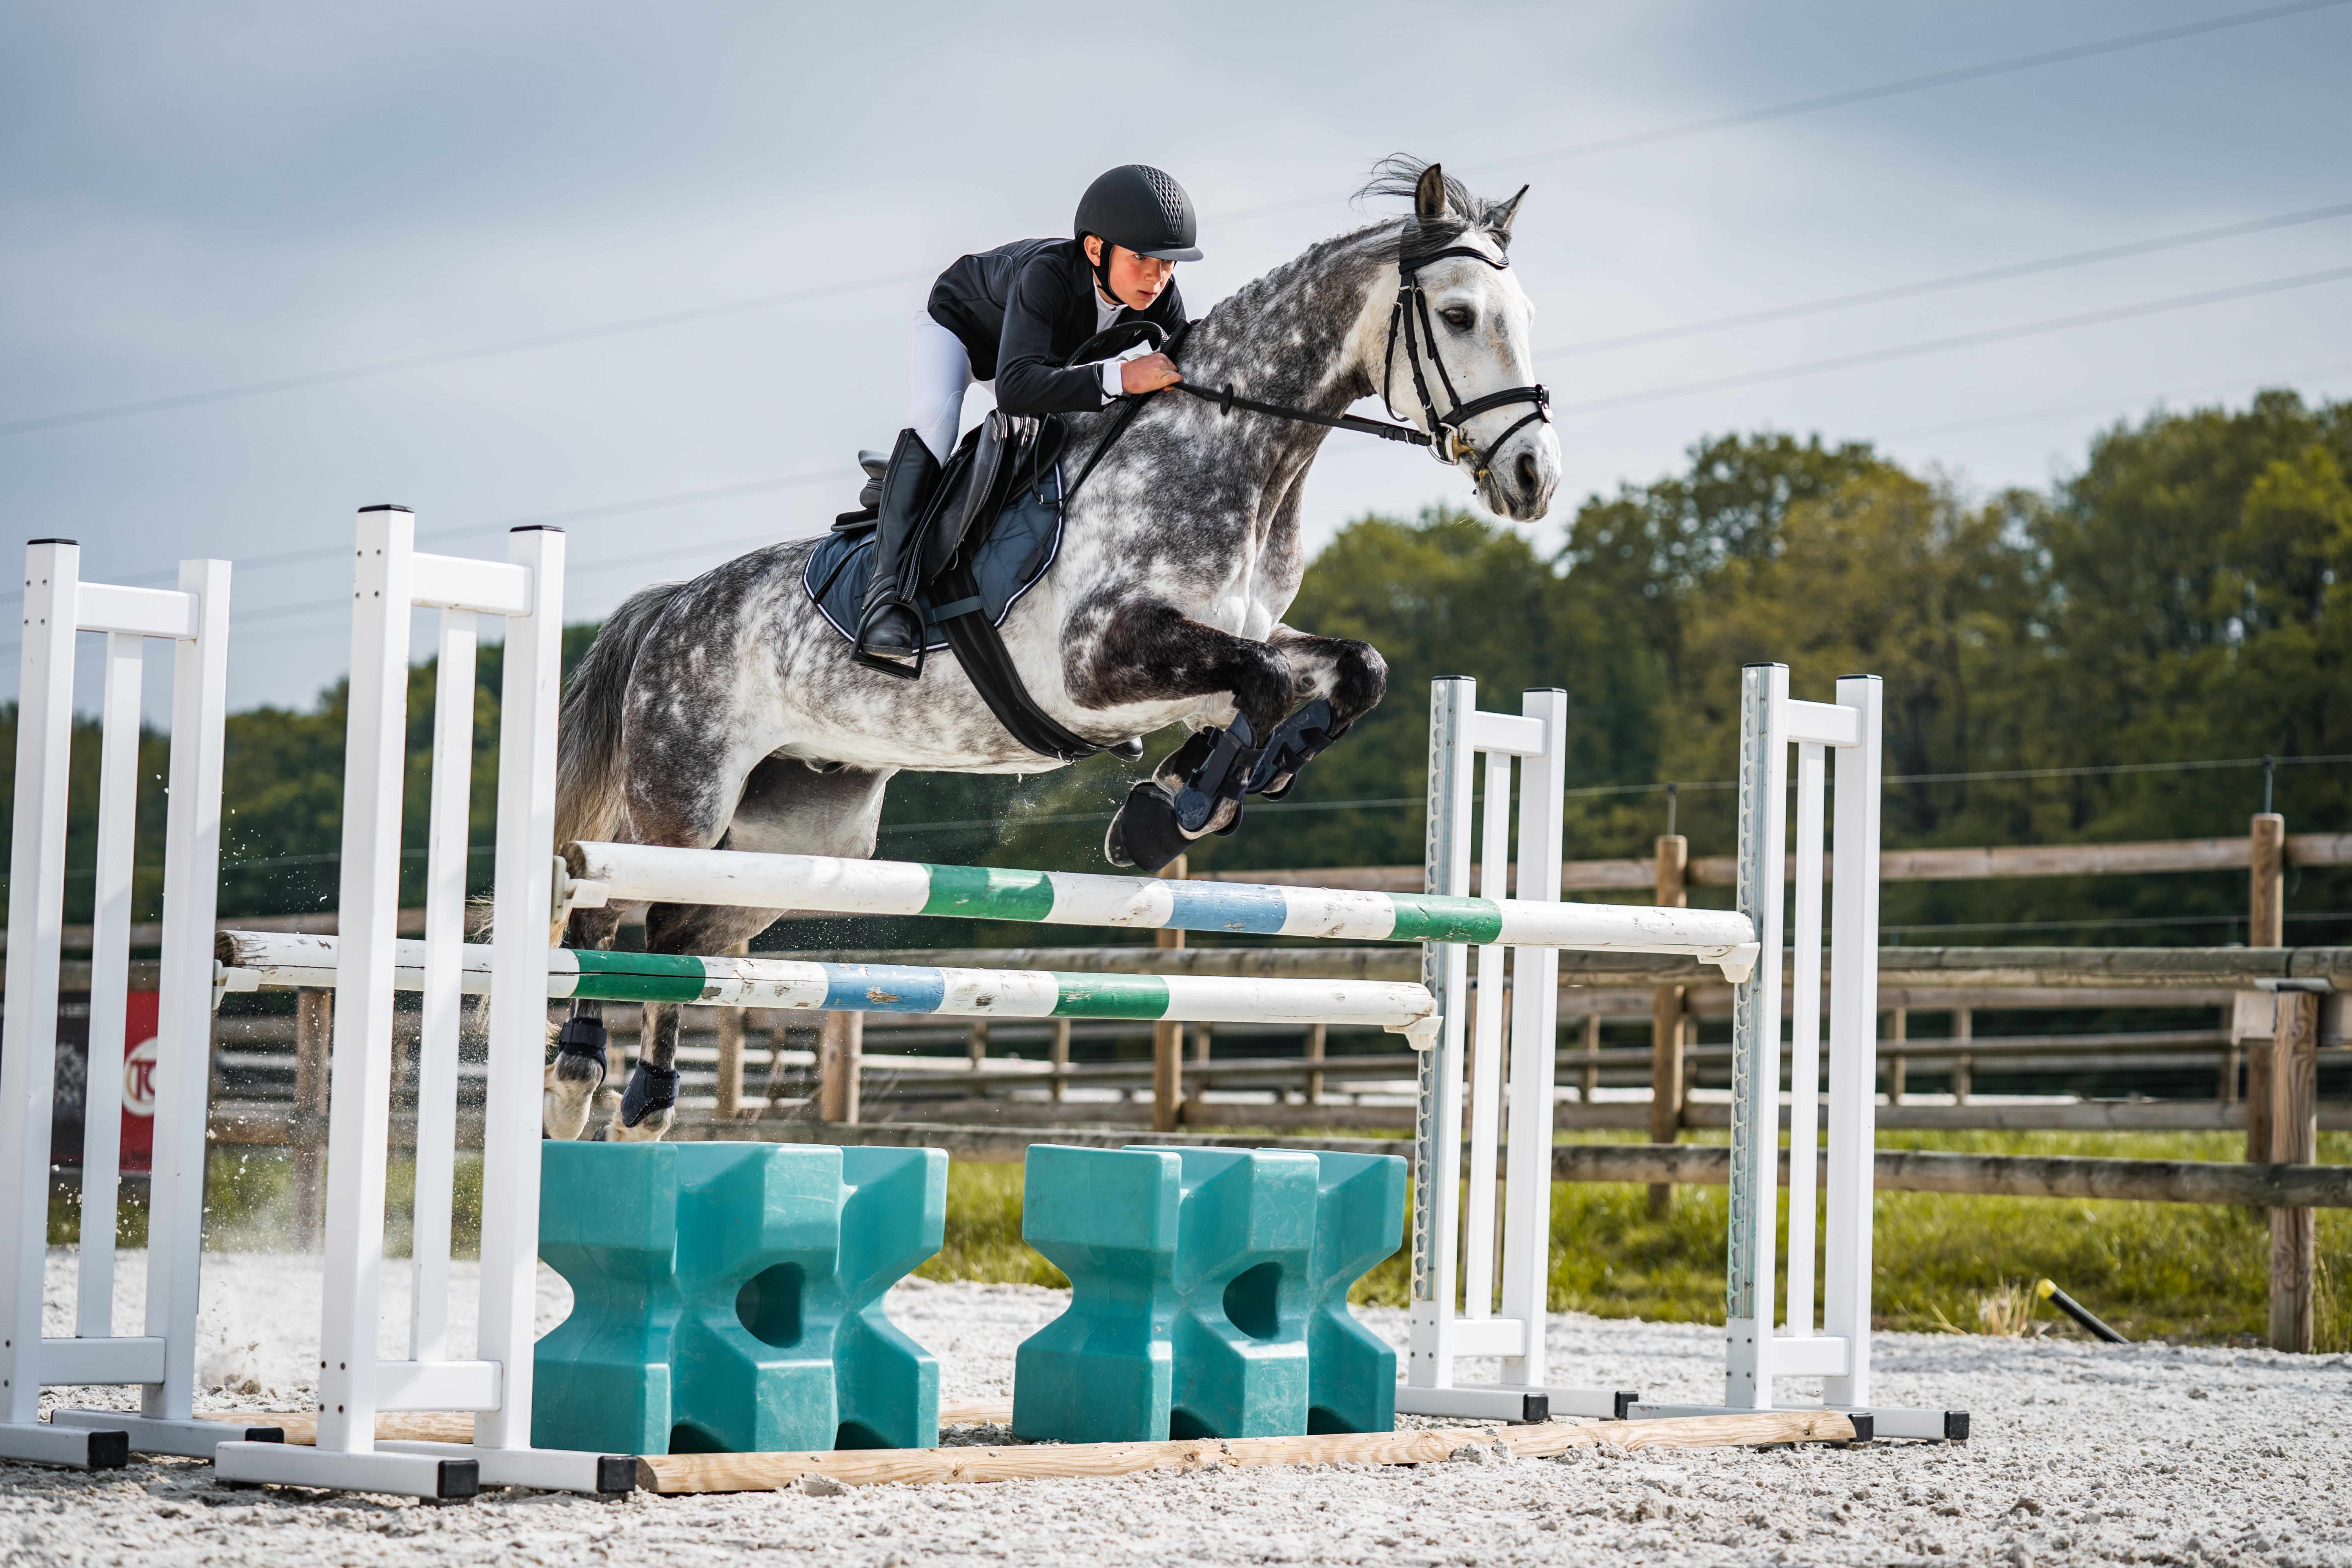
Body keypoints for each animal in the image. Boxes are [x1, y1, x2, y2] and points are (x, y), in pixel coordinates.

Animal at [550, 160, 1562, 1142]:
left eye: (1525, 316)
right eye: (1460, 315)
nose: (1533, 479)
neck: (1234, 456)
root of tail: (672, 605)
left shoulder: (1225, 643)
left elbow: (1345, 671)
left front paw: (1192, 794)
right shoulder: (1096, 661)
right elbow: (1266, 681)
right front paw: (1178, 807)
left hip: (797, 834)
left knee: (680, 931)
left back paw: (647, 1097)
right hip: (685, 797)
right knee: (609, 900)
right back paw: (577, 1079)